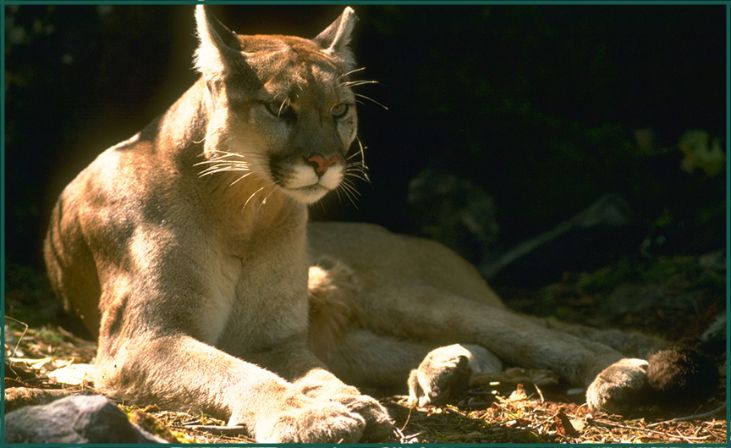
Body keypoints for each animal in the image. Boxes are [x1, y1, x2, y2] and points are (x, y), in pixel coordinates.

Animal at [44, 5, 696, 442]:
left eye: (340, 110)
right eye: (280, 108)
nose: (324, 161)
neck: (244, 208)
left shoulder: (272, 337)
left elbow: (276, 369)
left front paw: (335, 404)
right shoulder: (142, 340)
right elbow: (238, 372)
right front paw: (319, 411)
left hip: (396, 291)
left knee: (536, 332)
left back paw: (613, 374)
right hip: (357, 324)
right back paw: (444, 373)